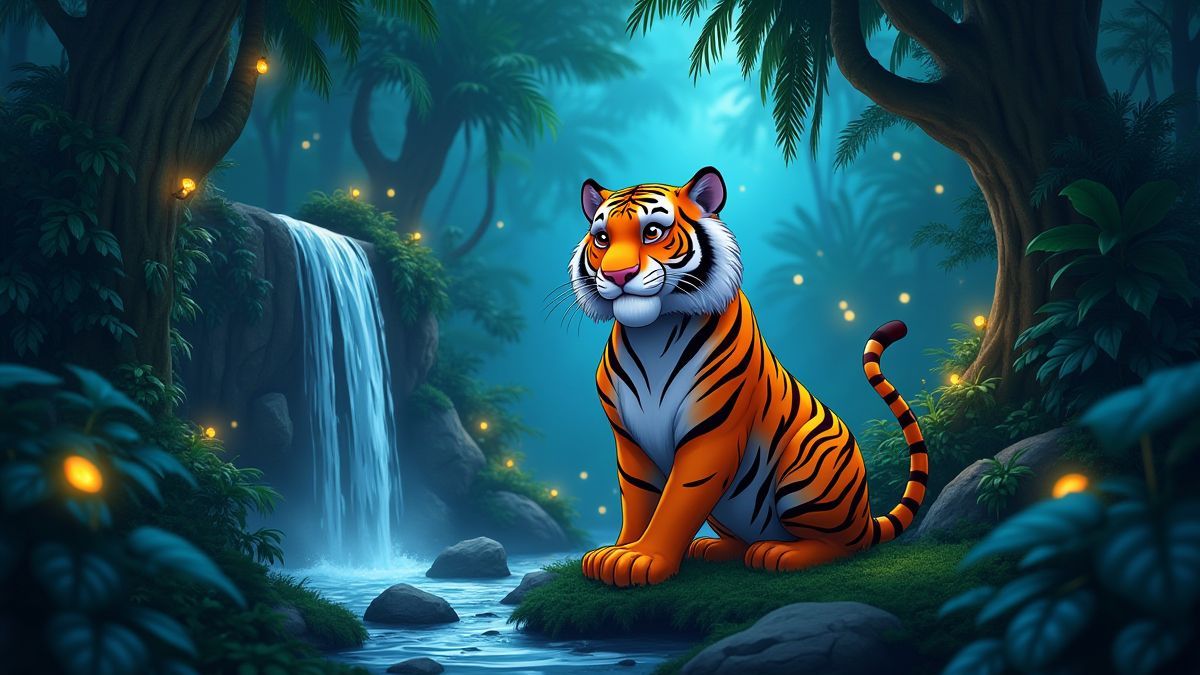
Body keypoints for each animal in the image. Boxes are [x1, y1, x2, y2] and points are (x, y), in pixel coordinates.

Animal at [569, 166, 928, 587]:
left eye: (652, 232)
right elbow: (638, 498)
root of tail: (866, 518)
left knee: (842, 546)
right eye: (602, 238)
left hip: (808, 469)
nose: (617, 274)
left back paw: (779, 553)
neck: (652, 332)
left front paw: (643, 558)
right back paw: (712, 548)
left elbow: (678, 500)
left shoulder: (711, 434)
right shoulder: (630, 440)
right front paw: (618, 550)